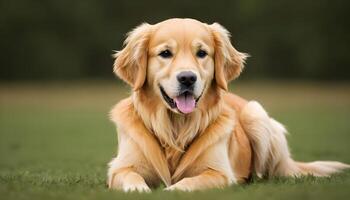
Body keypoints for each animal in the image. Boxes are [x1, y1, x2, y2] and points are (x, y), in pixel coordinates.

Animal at [108, 18, 348, 192]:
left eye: (202, 53)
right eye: (165, 53)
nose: (187, 78)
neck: (177, 128)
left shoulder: (219, 173)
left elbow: (189, 183)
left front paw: (170, 190)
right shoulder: (120, 168)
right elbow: (131, 178)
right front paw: (140, 190)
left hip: (256, 114)